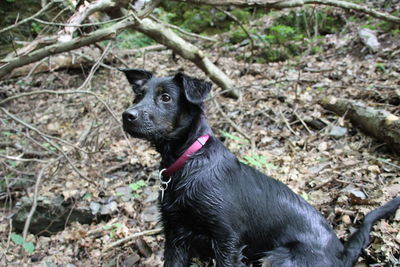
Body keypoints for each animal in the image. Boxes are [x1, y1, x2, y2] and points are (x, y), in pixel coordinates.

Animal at [122, 69, 400, 267]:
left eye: (165, 97)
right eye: (138, 96)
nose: (128, 115)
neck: (190, 160)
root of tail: (341, 254)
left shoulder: (227, 240)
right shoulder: (176, 236)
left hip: (278, 259)